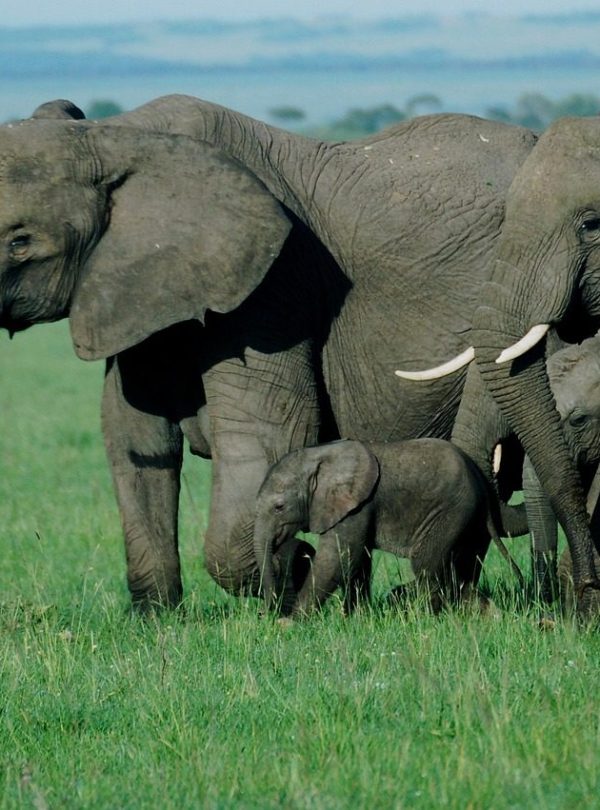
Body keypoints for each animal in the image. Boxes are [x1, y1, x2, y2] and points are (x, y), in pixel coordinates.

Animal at [253, 438, 499, 617]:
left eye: (279, 507)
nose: (265, 614)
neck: (319, 457)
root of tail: (479, 479)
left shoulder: (356, 507)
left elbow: (337, 559)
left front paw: (290, 623)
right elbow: (358, 560)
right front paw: (356, 618)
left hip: (449, 511)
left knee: (426, 566)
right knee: (462, 567)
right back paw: (485, 614)